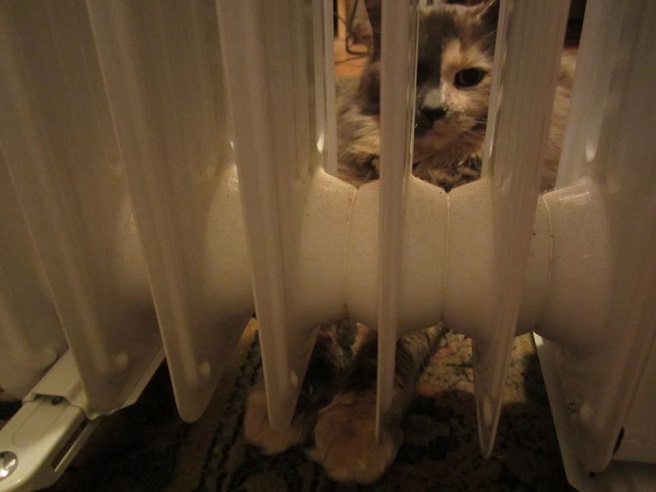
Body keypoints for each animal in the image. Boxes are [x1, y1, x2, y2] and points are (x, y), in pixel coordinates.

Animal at [245, 0, 576, 484]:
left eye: (468, 78)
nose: (433, 109)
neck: (416, 169)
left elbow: (381, 359)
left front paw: (354, 430)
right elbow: (318, 330)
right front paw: (282, 409)